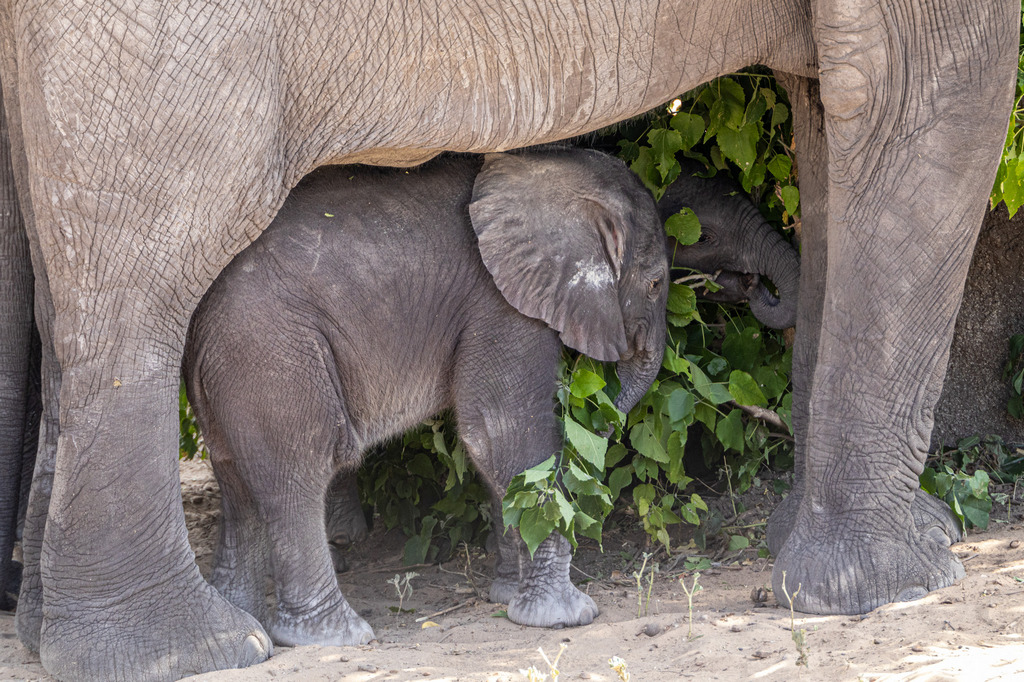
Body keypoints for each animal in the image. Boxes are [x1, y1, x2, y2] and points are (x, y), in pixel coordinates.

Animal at [182, 146, 671, 647]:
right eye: (655, 284)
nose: (602, 421)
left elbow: (486, 443)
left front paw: (505, 595)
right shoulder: (499, 303)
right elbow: (503, 430)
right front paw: (565, 617)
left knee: (236, 480)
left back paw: (248, 630)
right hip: (269, 356)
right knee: (300, 468)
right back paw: (332, 637)